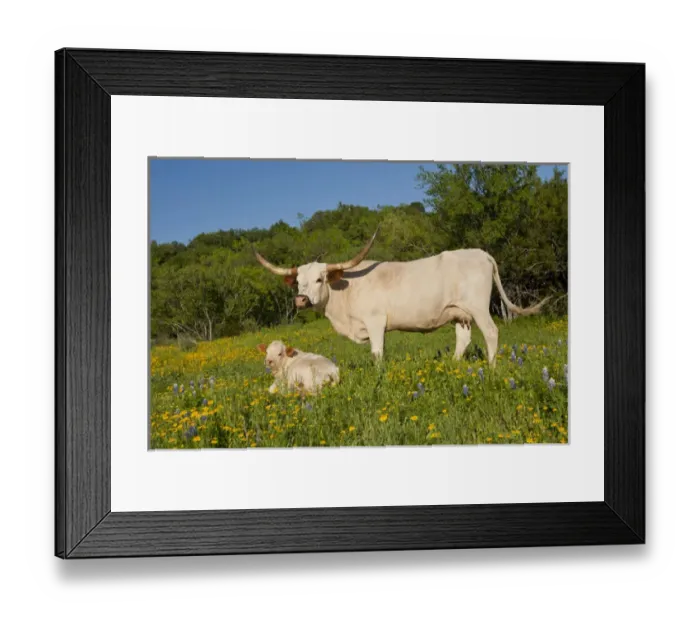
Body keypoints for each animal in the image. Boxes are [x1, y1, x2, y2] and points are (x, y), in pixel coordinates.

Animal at [253, 231, 549, 367]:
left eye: (319, 279)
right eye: (299, 281)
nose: (301, 300)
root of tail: (481, 253)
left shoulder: (375, 322)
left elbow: (377, 353)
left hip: (478, 308)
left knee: (491, 332)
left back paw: (491, 367)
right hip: (460, 313)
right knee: (463, 339)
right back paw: (453, 365)